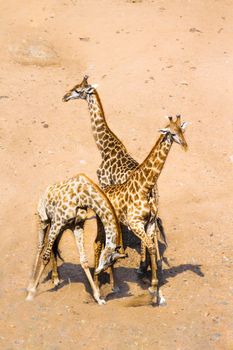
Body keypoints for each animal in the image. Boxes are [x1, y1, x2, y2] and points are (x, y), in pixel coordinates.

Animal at [26, 172, 126, 304]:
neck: (84, 196)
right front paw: (31, 293)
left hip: (59, 227)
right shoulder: (58, 222)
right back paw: (30, 285)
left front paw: (98, 298)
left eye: (111, 262)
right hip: (44, 220)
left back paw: (55, 279)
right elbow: (45, 257)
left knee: (53, 246)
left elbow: (84, 261)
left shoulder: (77, 226)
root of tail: (46, 190)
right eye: (108, 261)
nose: (98, 271)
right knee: (40, 246)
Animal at [62, 75, 167, 274]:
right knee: (154, 232)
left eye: (78, 90)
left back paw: (142, 268)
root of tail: (154, 191)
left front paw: (120, 249)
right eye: (74, 86)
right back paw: (153, 266)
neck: (104, 147)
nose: (65, 96)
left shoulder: (104, 183)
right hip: (154, 209)